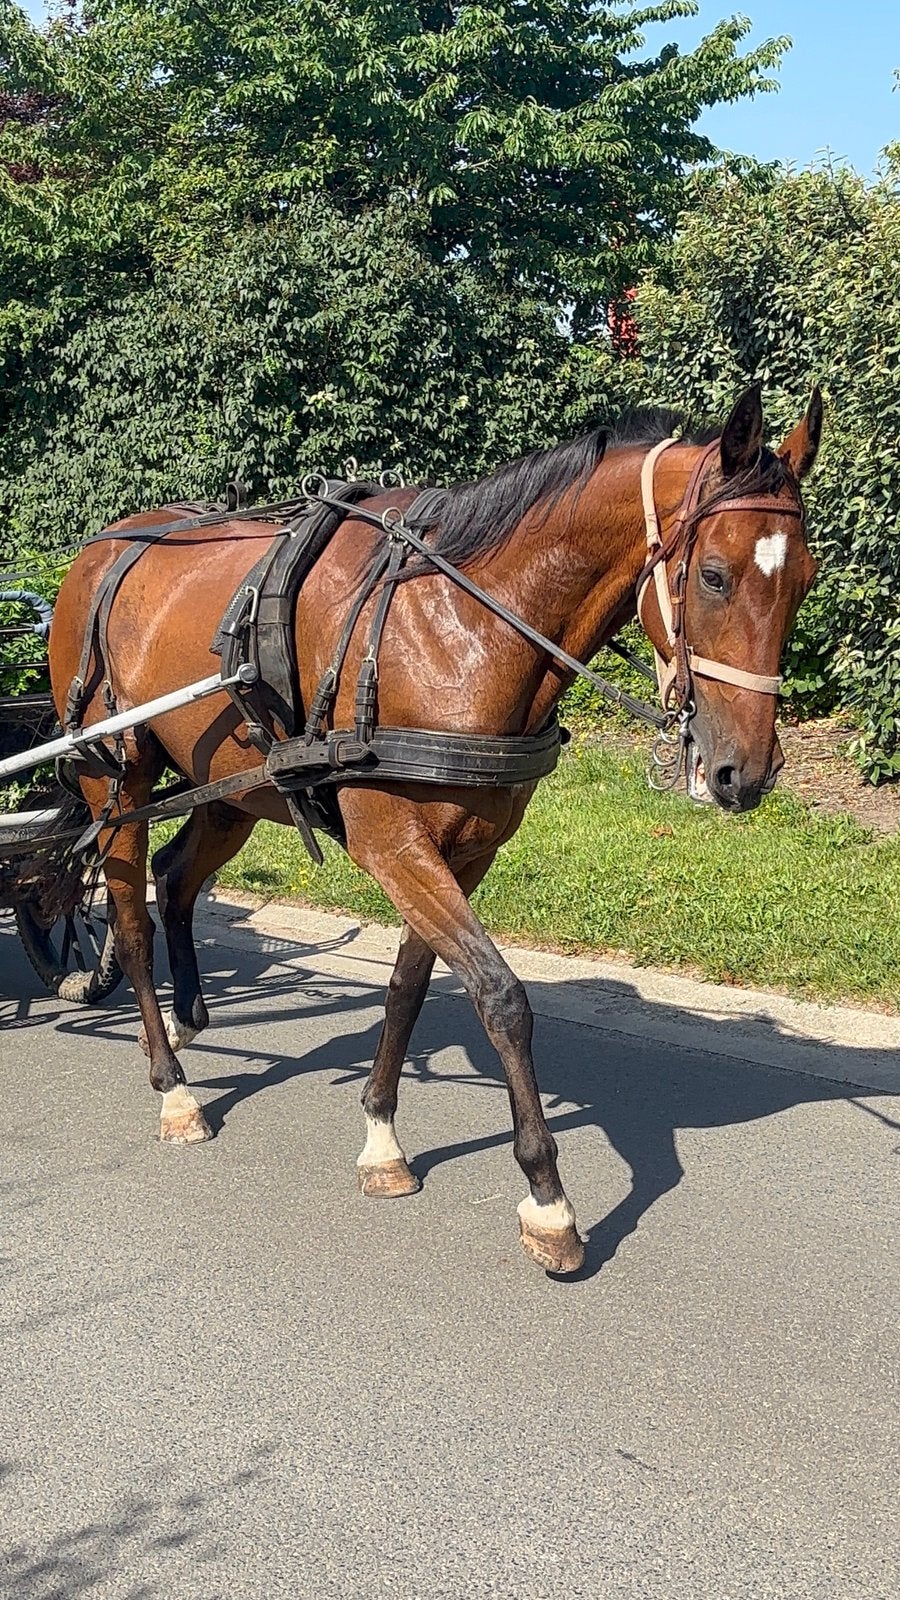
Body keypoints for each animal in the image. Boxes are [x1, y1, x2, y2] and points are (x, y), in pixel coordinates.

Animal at [48, 382, 821, 1275]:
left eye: (804, 580)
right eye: (716, 575)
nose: (746, 772)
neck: (458, 621)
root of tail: (99, 552)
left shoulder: (466, 850)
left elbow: (410, 984)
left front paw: (382, 1135)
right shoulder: (396, 844)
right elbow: (500, 995)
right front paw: (547, 1198)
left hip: (229, 790)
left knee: (175, 880)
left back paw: (189, 1016)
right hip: (116, 779)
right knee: (132, 916)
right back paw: (172, 1083)